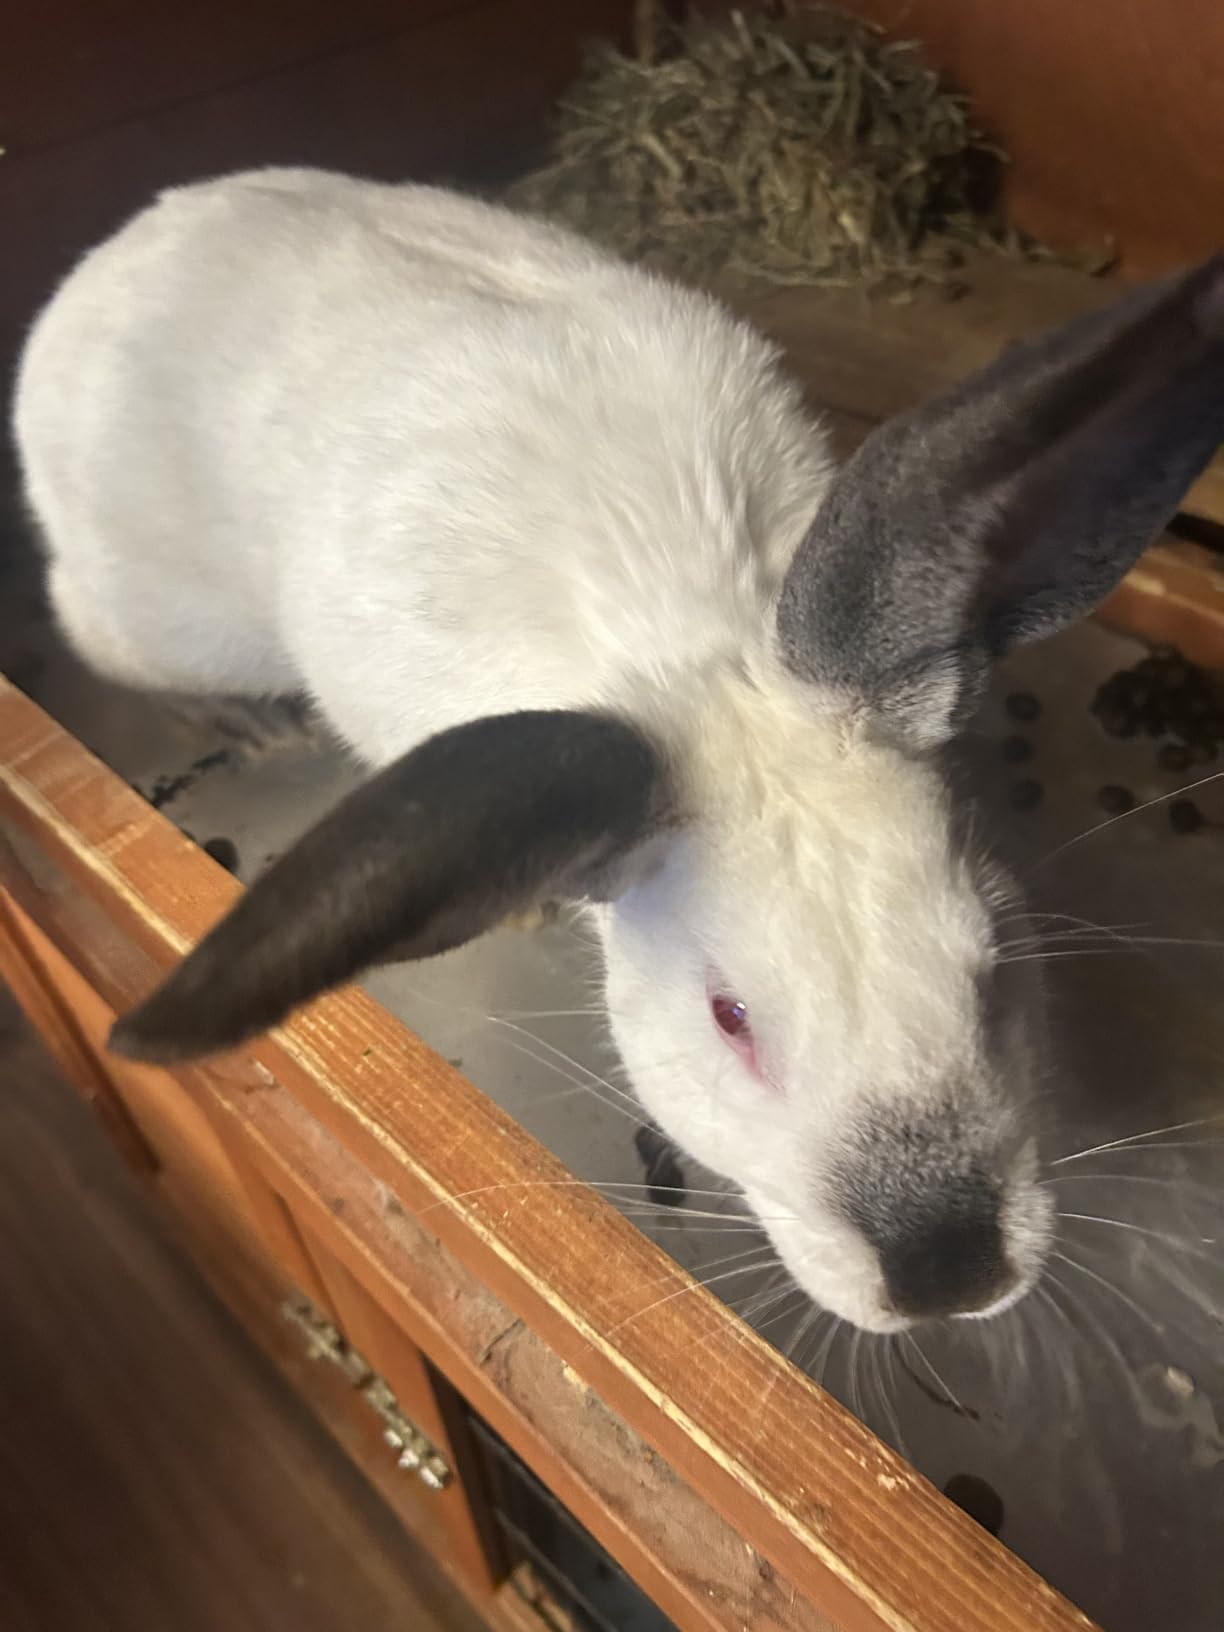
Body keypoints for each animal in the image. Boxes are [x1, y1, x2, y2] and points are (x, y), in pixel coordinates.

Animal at [12, 166, 1224, 1333]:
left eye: (992, 965)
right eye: (729, 1019)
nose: (950, 1278)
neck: (698, 660)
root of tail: (100, 272)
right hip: (154, 614)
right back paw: (251, 720)